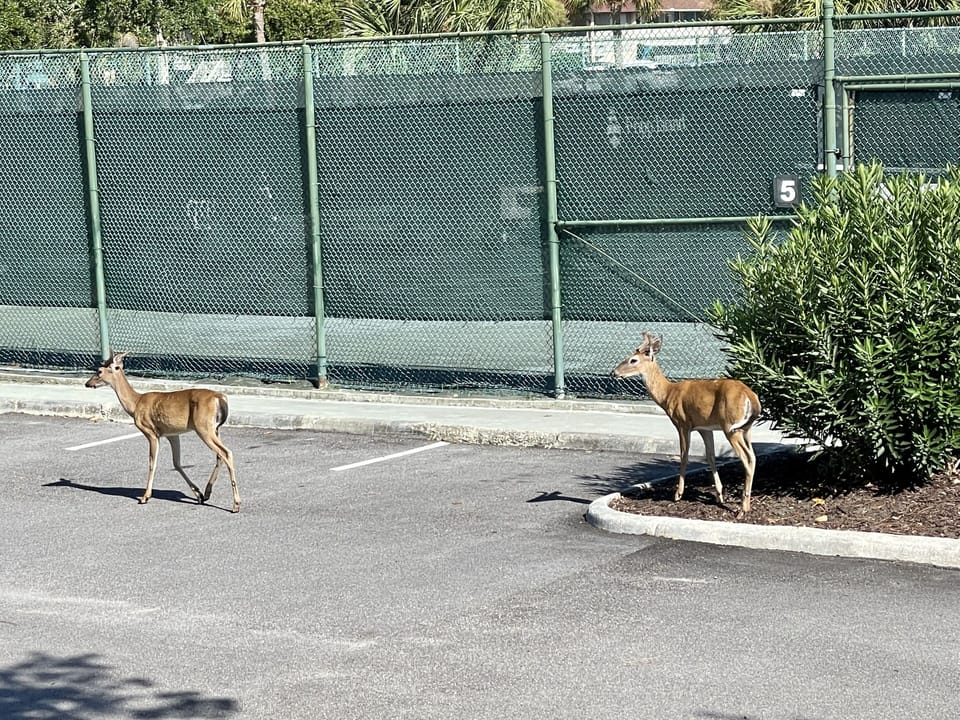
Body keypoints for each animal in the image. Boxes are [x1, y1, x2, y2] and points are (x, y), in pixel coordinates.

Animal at [85, 351, 240, 513]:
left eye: (99, 371)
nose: (87, 383)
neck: (136, 403)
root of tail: (220, 398)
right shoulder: (172, 434)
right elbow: (177, 463)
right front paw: (198, 494)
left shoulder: (151, 431)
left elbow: (152, 463)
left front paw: (145, 497)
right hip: (215, 428)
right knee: (219, 455)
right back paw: (208, 492)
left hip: (204, 427)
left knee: (226, 452)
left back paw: (236, 504)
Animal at [611, 331, 761, 514]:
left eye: (633, 360)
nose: (613, 372)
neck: (668, 394)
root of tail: (751, 397)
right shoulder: (705, 427)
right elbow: (710, 456)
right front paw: (719, 495)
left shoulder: (682, 423)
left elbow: (684, 455)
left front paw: (678, 494)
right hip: (746, 428)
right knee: (753, 457)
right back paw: (745, 504)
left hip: (731, 426)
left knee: (746, 458)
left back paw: (743, 508)